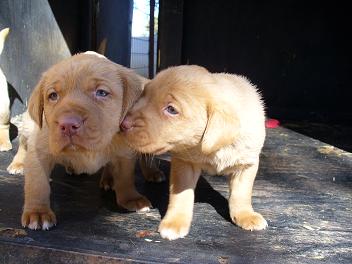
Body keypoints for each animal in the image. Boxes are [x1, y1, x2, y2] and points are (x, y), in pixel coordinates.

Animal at [121, 65, 266, 240]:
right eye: (143, 96)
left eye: (171, 109)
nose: (123, 124)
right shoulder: (184, 163)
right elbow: (180, 195)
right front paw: (174, 222)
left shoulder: (247, 164)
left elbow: (242, 193)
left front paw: (245, 215)